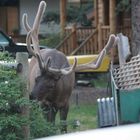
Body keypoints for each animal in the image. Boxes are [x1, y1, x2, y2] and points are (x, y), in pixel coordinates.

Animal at [22, 0, 117, 132]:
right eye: (36, 78)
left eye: (51, 85)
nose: (31, 96)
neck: (56, 95)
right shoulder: (44, 103)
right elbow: (49, 124)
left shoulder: (65, 103)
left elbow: (63, 126)